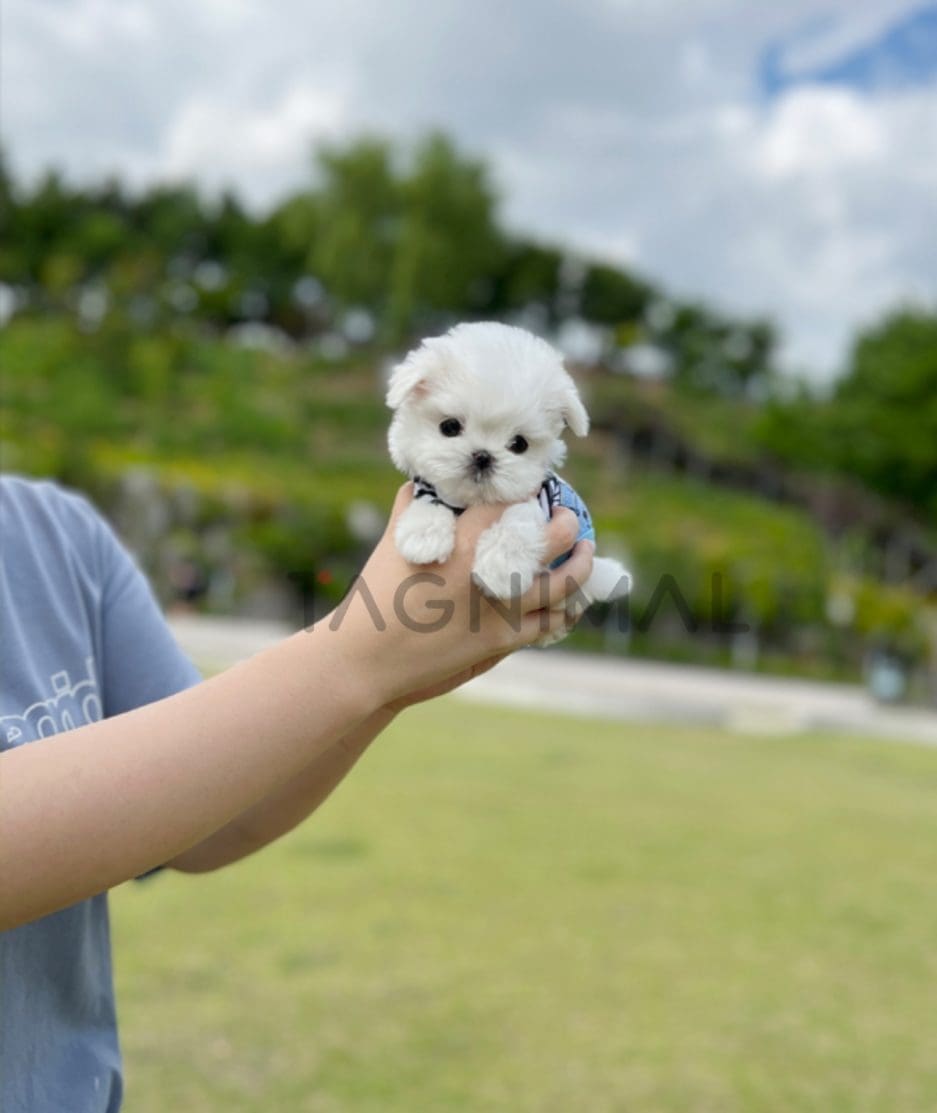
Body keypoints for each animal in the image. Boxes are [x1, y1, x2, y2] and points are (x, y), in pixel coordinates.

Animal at [382, 318, 632, 614]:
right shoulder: (428, 488)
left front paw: (500, 571)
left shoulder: (537, 501)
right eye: (450, 427)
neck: (470, 501)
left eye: (519, 444)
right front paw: (423, 536)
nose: (483, 456)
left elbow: (518, 523)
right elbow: (429, 501)